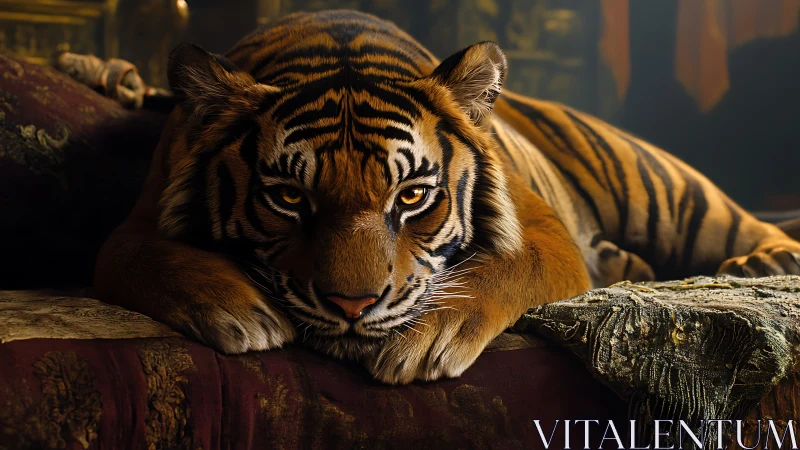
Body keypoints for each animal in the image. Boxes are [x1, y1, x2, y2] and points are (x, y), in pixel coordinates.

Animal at [94, 10, 800, 384]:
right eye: (289, 197)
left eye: (412, 197)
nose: (353, 305)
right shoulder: (131, 225)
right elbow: (148, 257)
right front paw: (242, 312)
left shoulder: (545, 232)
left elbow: (502, 268)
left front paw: (430, 341)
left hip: (667, 188)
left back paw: (767, 262)